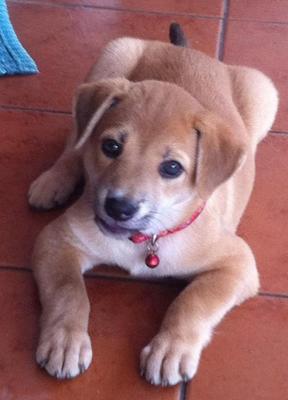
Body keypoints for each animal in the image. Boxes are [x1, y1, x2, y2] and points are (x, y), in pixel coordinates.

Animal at [28, 23, 276, 386]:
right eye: (111, 147)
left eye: (172, 168)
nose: (119, 208)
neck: (147, 239)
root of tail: (191, 51)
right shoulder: (56, 240)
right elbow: (67, 290)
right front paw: (65, 341)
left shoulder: (237, 263)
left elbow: (193, 301)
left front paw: (170, 349)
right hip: (113, 54)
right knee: (75, 140)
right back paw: (53, 181)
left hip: (265, 92)